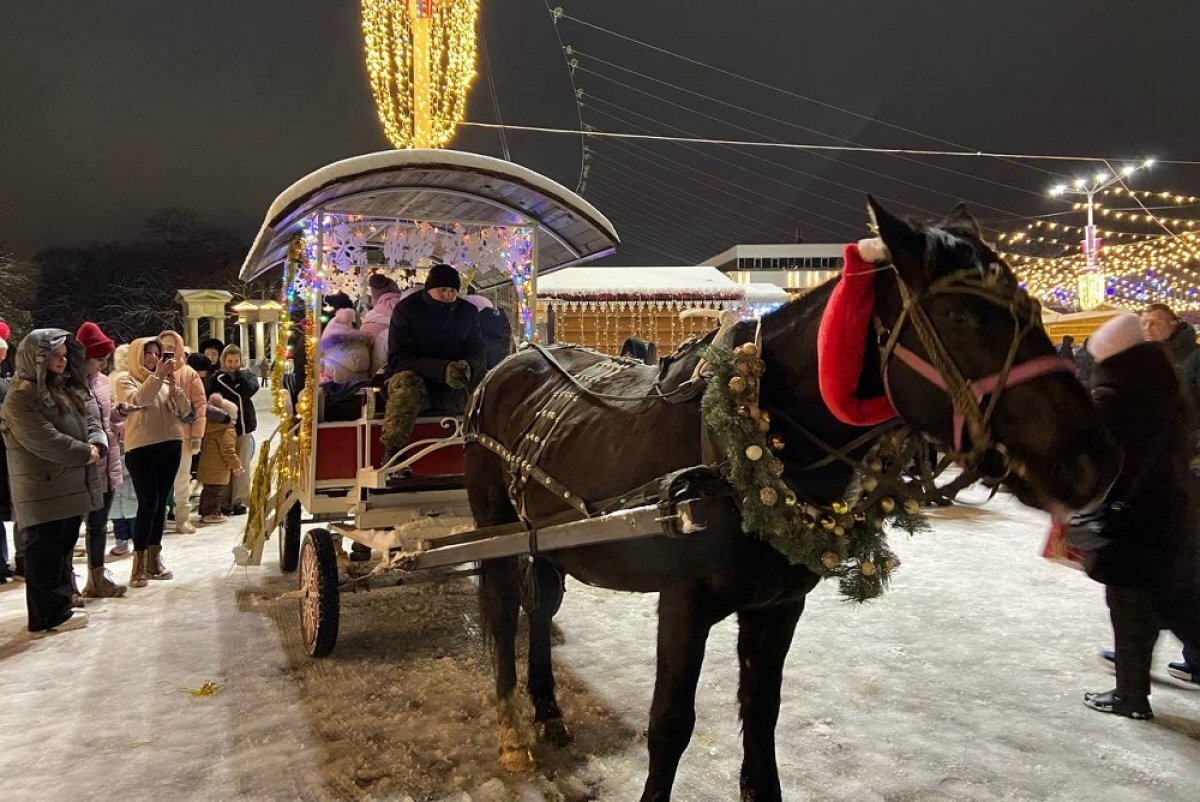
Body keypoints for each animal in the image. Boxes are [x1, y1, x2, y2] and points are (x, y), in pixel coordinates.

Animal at [463, 196, 1118, 797]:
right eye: (957, 314)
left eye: (1031, 309)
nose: (1093, 461)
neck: (752, 434)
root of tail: (510, 363)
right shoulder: (683, 602)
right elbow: (670, 724)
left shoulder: (778, 606)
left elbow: (762, 717)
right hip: (494, 522)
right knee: (503, 606)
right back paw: (513, 733)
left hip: (545, 536)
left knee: (541, 608)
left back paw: (548, 710)